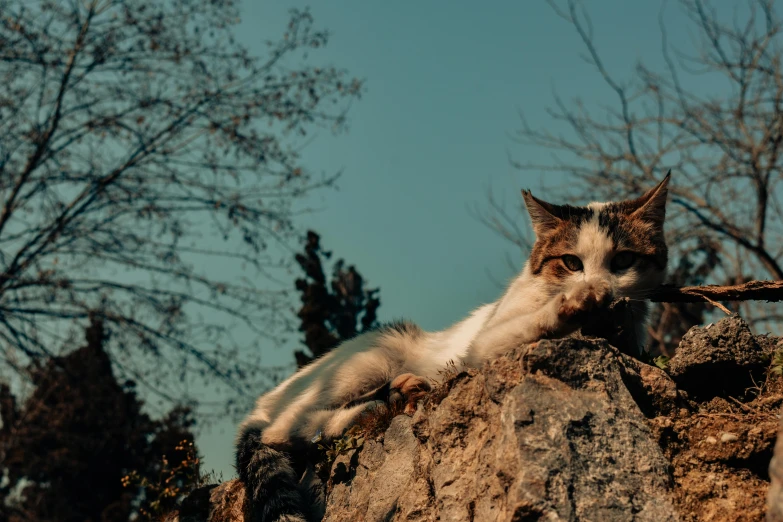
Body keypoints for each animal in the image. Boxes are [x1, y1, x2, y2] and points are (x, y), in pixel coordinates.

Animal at [236, 172, 672, 520]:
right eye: (571, 263)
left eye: (623, 261)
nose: (597, 287)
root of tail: (263, 403)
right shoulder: (482, 345)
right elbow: (530, 324)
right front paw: (571, 305)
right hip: (374, 355)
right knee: (281, 429)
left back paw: (399, 394)